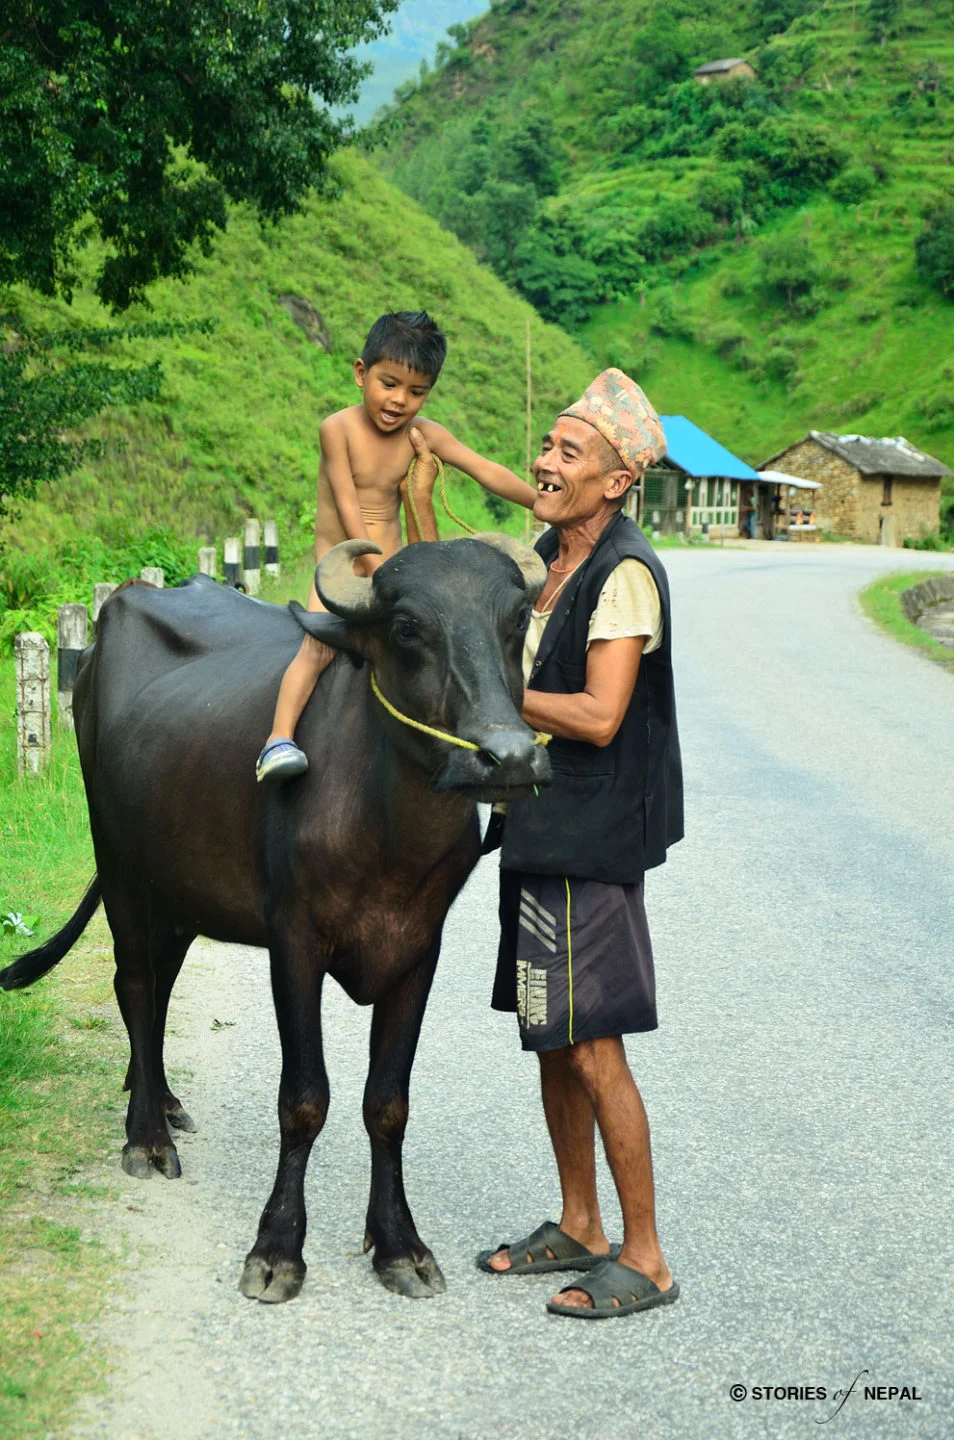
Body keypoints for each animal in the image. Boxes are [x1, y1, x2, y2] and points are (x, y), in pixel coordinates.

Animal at [1, 535, 549, 1301]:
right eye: (407, 627)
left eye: (516, 620)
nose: (509, 757)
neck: (387, 828)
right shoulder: (294, 942)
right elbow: (304, 1098)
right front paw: (277, 1249)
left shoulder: (419, 949)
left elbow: (389, 1103)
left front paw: (400, 1246)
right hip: (119, 864)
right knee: (135, 984)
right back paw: (146, 1138)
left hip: (180, 885)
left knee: (159, 987)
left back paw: (163, 1100)